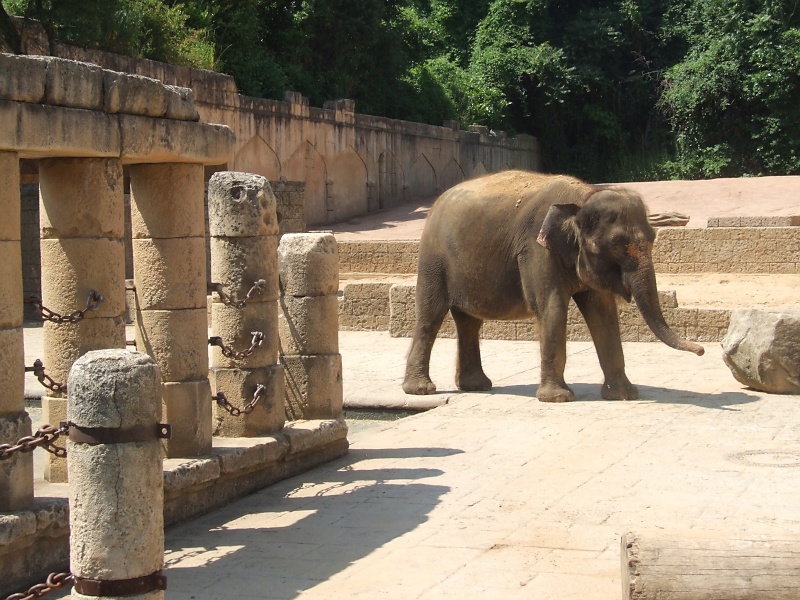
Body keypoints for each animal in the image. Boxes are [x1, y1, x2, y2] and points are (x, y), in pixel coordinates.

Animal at [404, 170, 704, 404]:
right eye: (617, 244)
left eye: (653, 238)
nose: (701, 350)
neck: (582, 198)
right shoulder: (536, 249)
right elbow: (551, 307)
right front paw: (558, 398)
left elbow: (603, 313)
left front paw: (624, 396)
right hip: (433, 260)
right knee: (430, 317)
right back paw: (421, 390)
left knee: (469, 323)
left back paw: (476, 386)